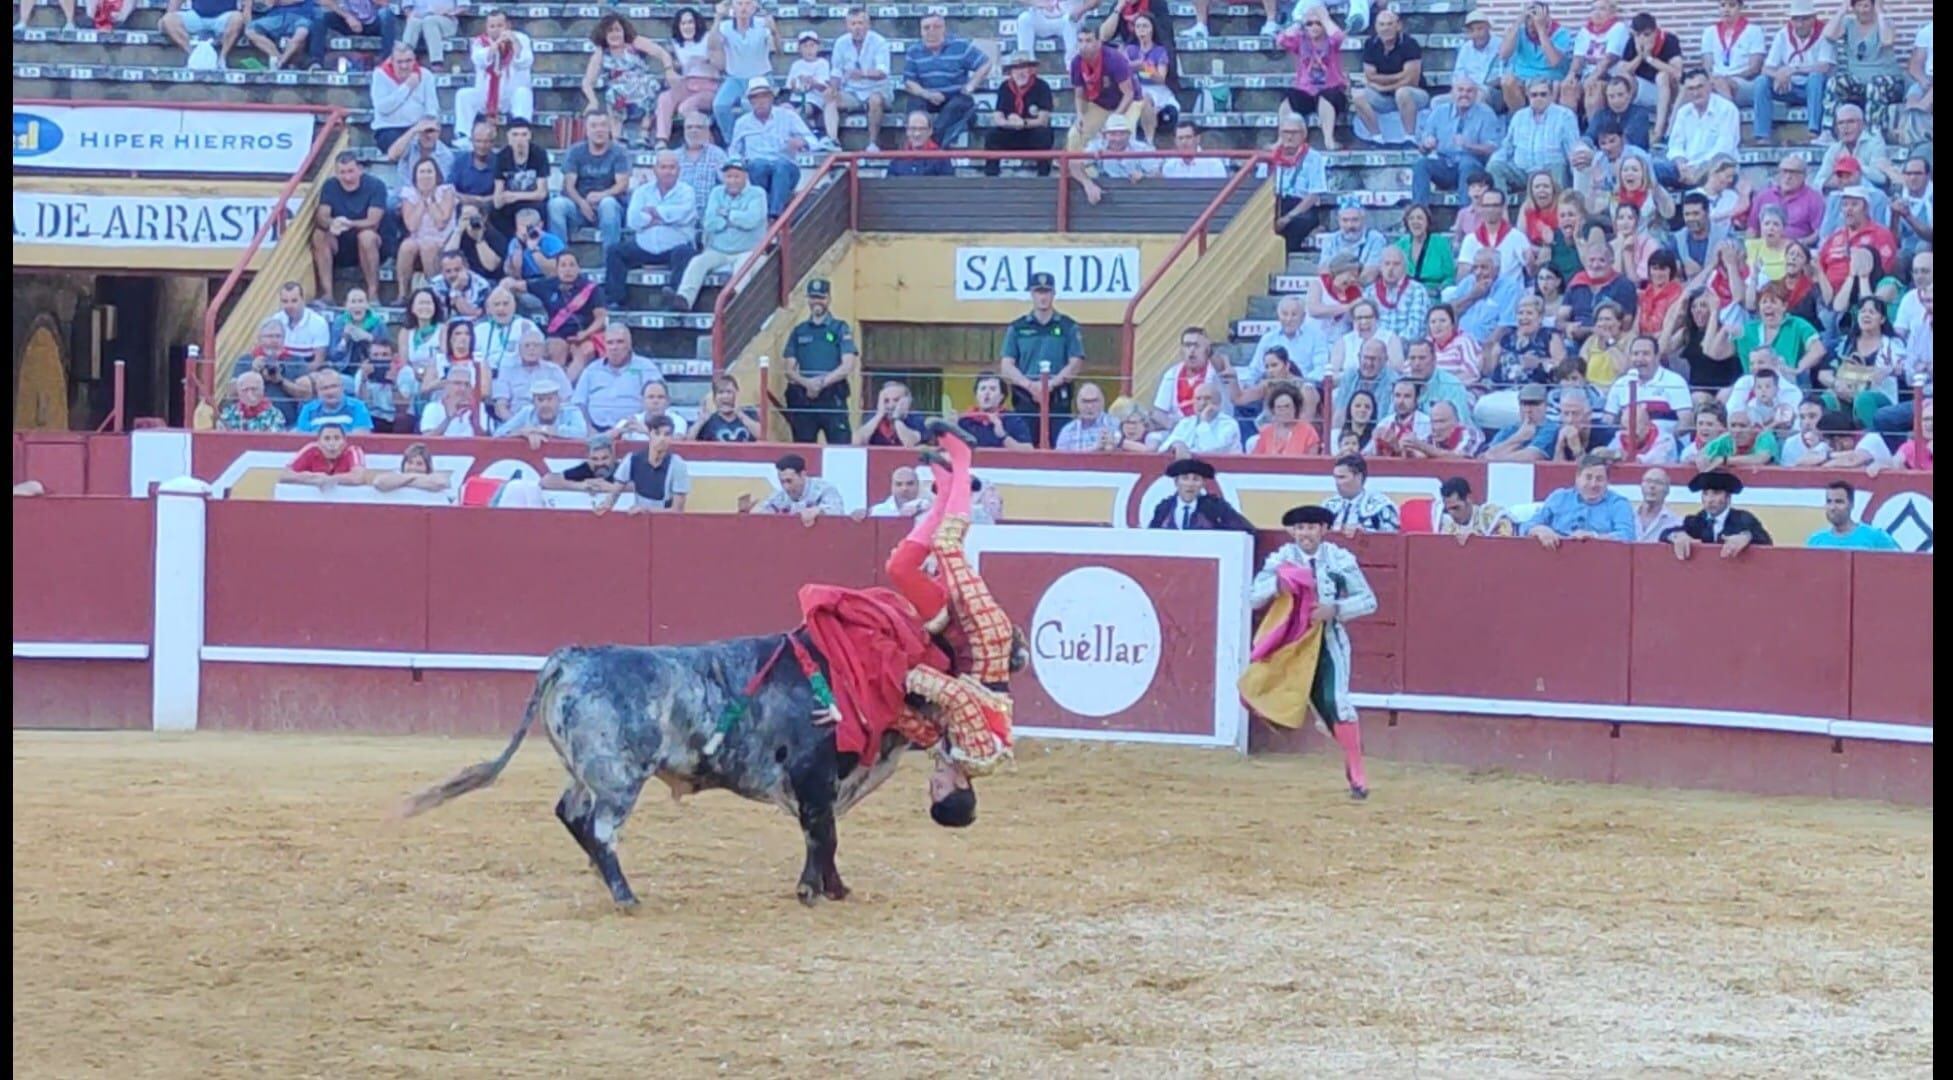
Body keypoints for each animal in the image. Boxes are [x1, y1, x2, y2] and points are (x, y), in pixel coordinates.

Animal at [396, 636, 929, 906]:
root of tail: (573, 657)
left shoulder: (822, 788)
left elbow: (824, 837)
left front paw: (835, 888)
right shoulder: (814, 778)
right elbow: (823, 835)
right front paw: (812, 890)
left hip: (587, 771)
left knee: (571, 812)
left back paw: (603, 877)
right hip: (618, 778)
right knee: (600, 827)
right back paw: (624, 895)